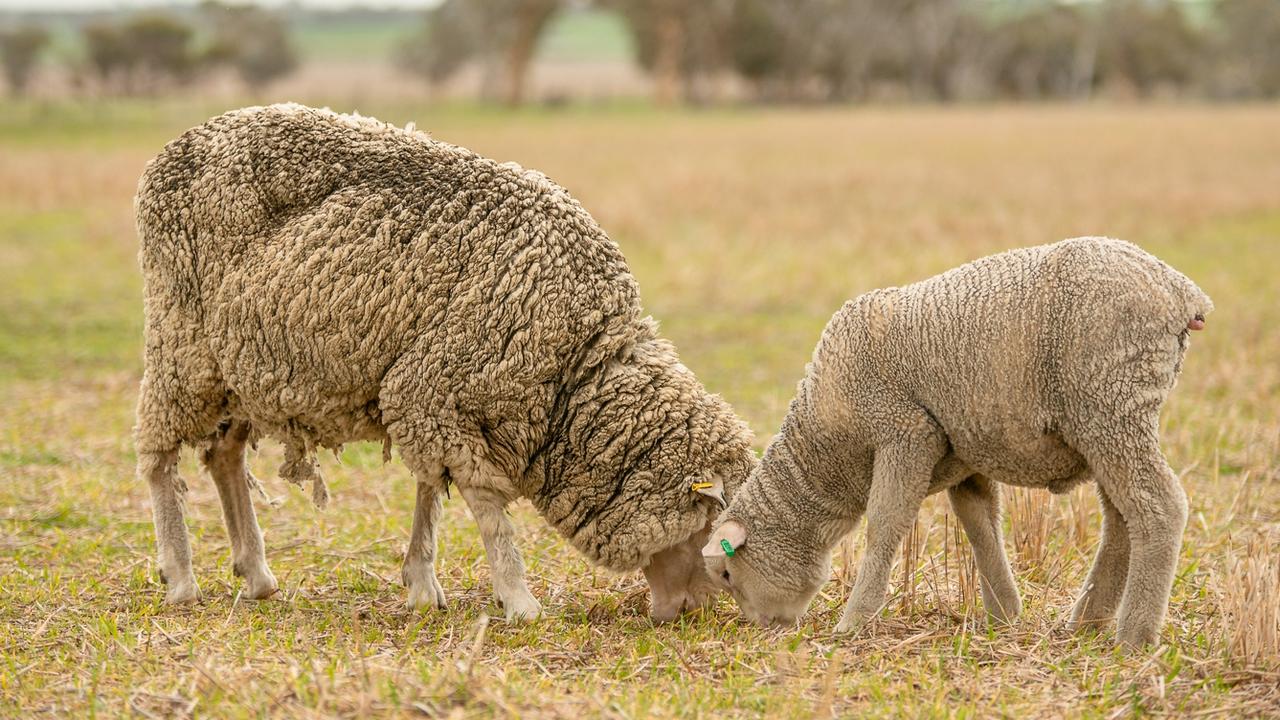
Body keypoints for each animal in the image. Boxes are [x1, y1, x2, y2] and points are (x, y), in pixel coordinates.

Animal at [131, 102, 752, 622]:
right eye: (715, 541)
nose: (693, 613)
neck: (573, 375)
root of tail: (173, 150)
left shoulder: (428, 390)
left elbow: (431, 492)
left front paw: (422, 583)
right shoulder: (433, 390)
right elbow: (485, 505)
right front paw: (519, 601)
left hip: (240, 363)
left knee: (223, 452)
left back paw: (256, 573)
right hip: (181, 338)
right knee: (159, 454)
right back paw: (180, 577)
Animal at [701, 235, 1208, 645]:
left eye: (726, 573)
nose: (765, 629)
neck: (828, 451)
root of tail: (1183, 293)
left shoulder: (905, 433)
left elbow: (885, 524)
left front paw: (853, 623)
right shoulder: (964, 456)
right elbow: (980, 526)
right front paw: (1004, 614)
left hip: (1110, 403)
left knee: (1158, 507)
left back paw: (1134, 635)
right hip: (1107, 419)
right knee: (1121, 518)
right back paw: (1085, 621)